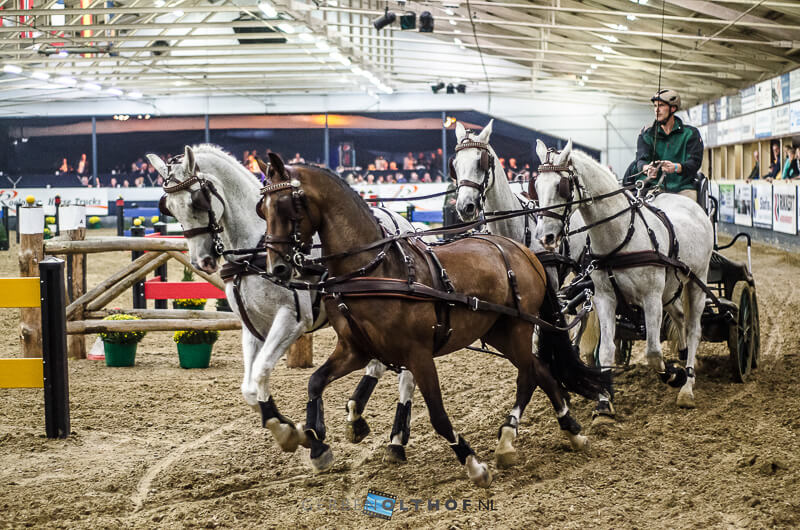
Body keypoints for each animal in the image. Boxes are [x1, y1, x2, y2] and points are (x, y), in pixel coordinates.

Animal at [148, 144, 418, 458]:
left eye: (198, 202)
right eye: (169, 207)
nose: (201, 261)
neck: (254, 252)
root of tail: (401, 221)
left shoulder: (291, 320)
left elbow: (262, 370)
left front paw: (289, 432)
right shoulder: (252, 326)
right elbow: (249, 387)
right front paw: (288, 429)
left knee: (406, 373)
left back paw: (396, 439)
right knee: (377, 363)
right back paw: (357, 417)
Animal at [260, 151, 608, 484]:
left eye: (289, 204)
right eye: (262, 209)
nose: (277, 267)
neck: (373, 270)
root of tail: (524, 252)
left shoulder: (418, 354)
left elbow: (438, 415)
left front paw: (473, 464)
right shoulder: (354, 349)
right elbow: (315, 382)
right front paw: (316, 443)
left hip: (518, 329)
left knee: (531, 374)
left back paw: (528, 437)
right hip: (498, 331)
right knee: (540, 372)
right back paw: (561, 430)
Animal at [532, 139, 712, 416]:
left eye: (561, 186)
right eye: (537, 186)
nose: (545, 237)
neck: (621, 236)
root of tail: (694, 207)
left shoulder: (651, 298)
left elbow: (653, 352)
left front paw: (674, 376)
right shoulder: (605, 297)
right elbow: (606, 349)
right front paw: (604, 404)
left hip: (696, 283)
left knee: (694, 329)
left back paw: (687, 385)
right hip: (671, 290)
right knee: (680, 318)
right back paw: (682, 355)